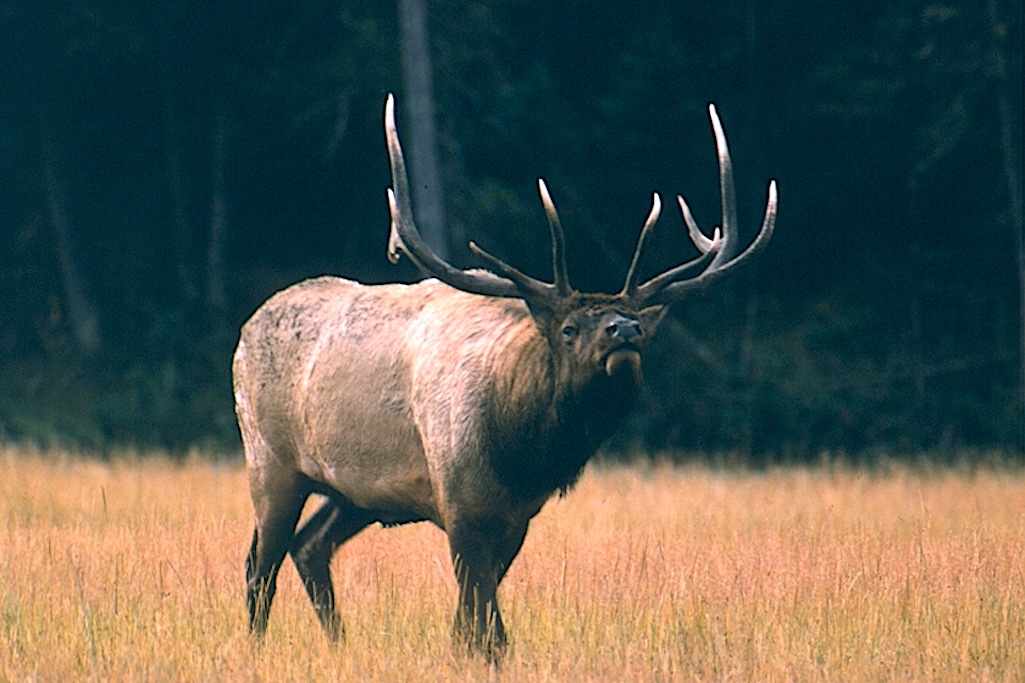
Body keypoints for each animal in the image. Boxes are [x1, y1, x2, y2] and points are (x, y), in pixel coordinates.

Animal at [233, 93, 777, 656]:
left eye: (642, 330)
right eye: (569, 328)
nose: (624, 330)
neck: (521, 452)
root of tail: (247, 330)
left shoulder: (518, 518)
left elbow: (471, 624)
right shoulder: (459, 503)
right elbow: (487, 626)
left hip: (353, 492)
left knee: (308, 547)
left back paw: (341, 644)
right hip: (270, 459)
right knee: (260, 564)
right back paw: (256, 648)